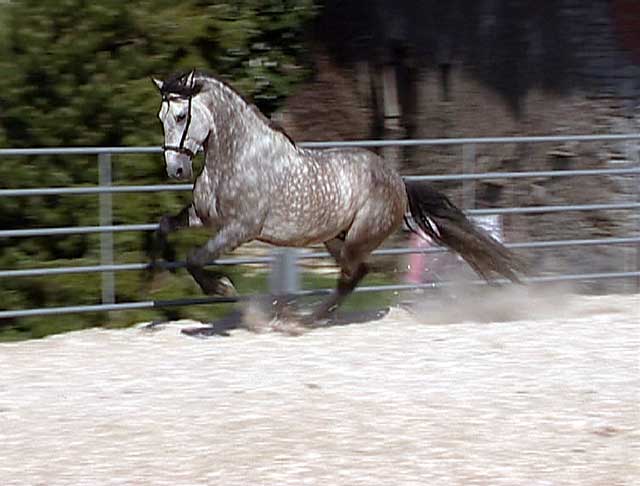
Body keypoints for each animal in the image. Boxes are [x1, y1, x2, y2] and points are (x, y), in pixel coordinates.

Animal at [151, 70, 524, 320]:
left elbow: (195, 258)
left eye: (181, 115)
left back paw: (304, 320)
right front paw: (157, 276)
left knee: (352, 276)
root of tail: (398, 180)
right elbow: (163, 228)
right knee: (355, 275)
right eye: (161, 117)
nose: (176, 170)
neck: (238, 157)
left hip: (357, 238)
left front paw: (223, 288)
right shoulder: (203, 217)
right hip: (335, 237)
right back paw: (308, 318)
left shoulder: (240, 229)